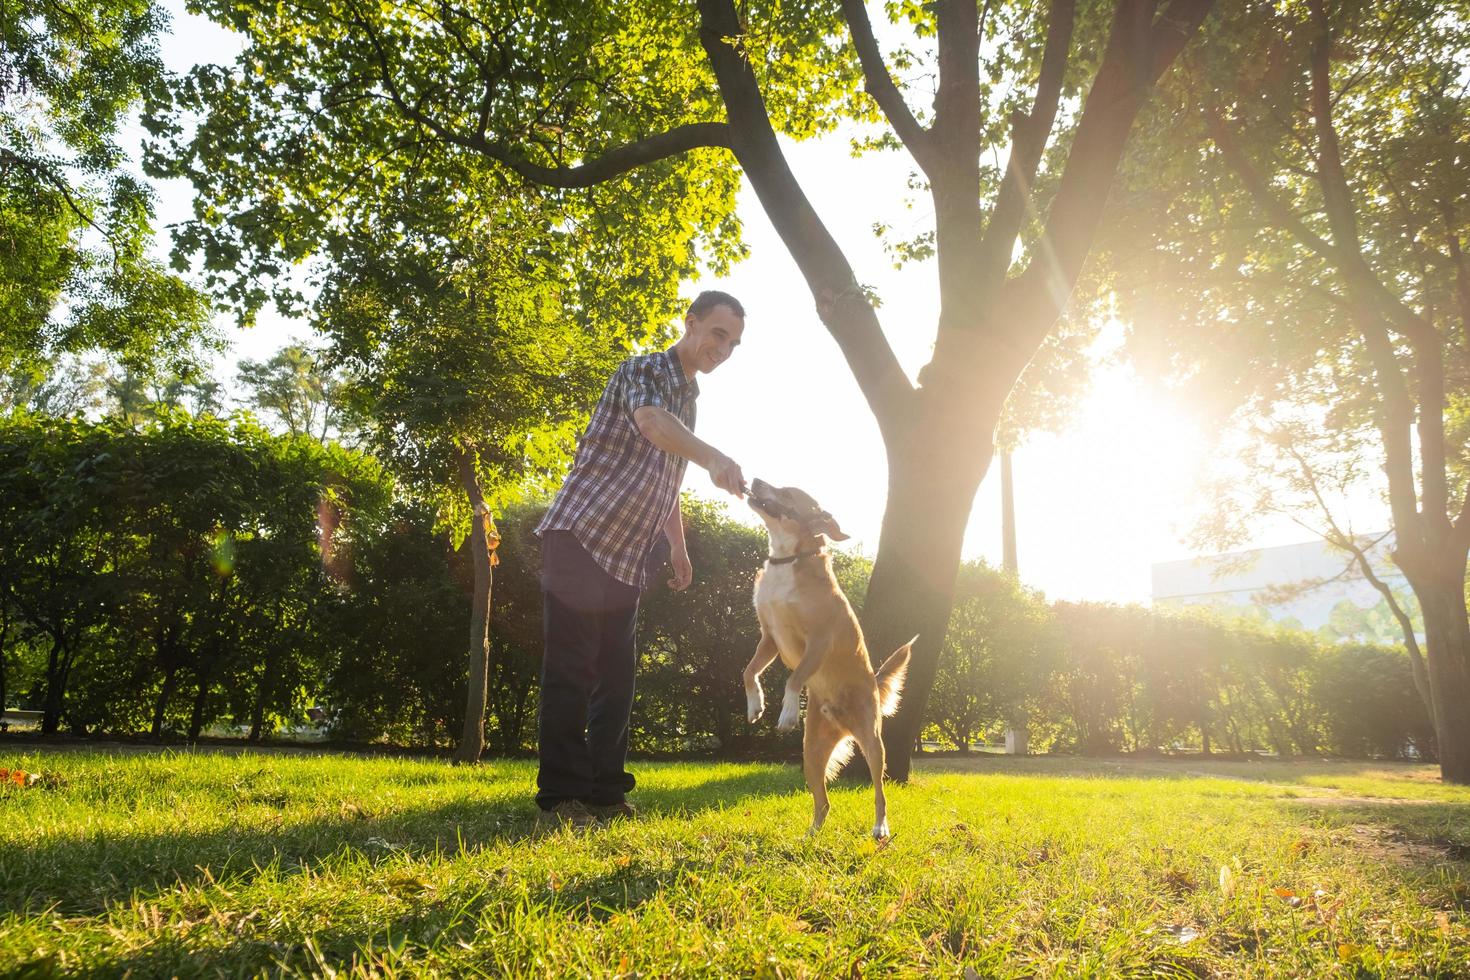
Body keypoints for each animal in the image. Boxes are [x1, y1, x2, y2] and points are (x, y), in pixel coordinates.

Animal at [752, 478, 911, 840]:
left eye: (786, 493)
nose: (754, 481)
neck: (788, 559)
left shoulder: (819, 641)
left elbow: (794, 677)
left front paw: (787, 711)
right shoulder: (769, 638)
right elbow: (748, 671)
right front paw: (755, 704)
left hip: (873, 743)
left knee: (880, 792)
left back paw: (880, 827)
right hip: (811, 753)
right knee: (823, 803)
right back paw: (810, 837)